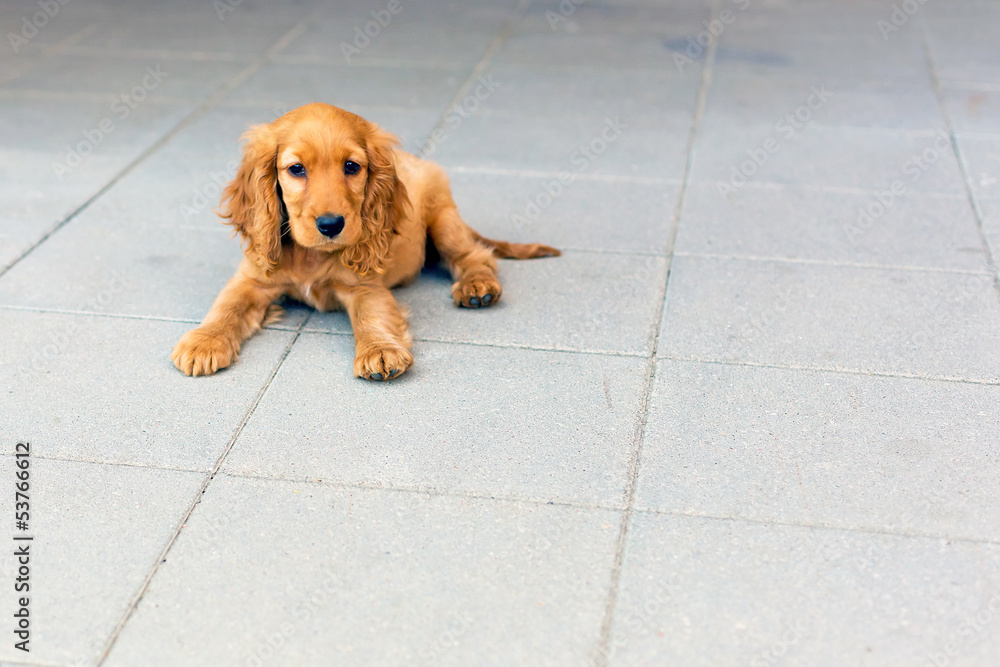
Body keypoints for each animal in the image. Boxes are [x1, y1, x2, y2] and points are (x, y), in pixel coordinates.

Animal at [174, 102, 564, 378]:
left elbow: (371, 317)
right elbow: (227, 306)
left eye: (352, 166)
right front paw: (204, 342)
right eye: (296, 169)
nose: (331, 224)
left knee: (474, 255)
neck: (312, 256)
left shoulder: (364, 285)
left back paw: (477, 287)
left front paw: (378, 350)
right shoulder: (253, 277)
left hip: (443, 218)